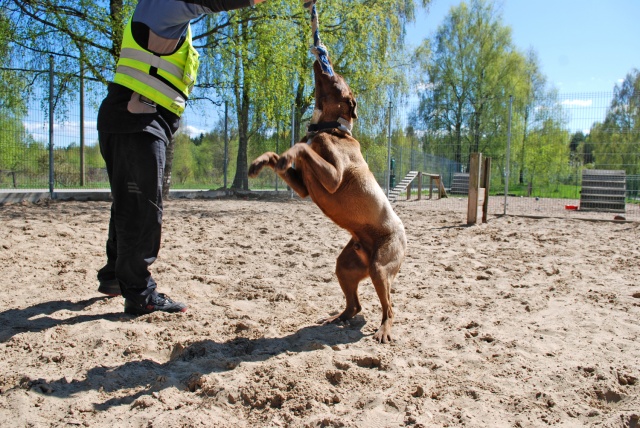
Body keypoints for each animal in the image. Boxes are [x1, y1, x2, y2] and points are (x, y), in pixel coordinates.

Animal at [248, 60, 406, 343]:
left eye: (337, 76)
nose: (324, 59)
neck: (328, 128)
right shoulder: (302, 188)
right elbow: (278, 155)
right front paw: (260, 162)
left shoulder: (334, 177)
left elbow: (301, 149)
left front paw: (288, 155)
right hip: (345, 266)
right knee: (355, 306)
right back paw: (336, 318)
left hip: (380, 267)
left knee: (389, 308)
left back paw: (384, 330)